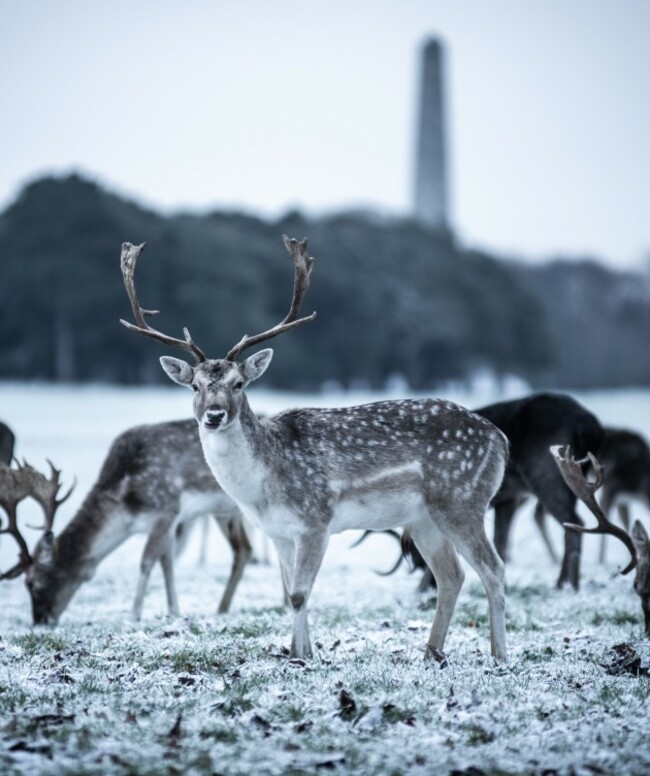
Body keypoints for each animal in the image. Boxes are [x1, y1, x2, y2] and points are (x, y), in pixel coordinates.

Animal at [0, 422, 251, 628]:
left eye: (32, 584)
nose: (39, 621)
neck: (127, 506)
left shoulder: (167, 507)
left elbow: (147, 561)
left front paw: (134, 615)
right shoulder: (171, 522)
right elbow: (167, 562)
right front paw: (174, 611)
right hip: (224, 512)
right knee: (244, 550)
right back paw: (223, 608)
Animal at [119, 238, 508, 660]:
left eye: (240, 383)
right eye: (195, 386)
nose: (214, 415)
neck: (261, 488)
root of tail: (500, 440)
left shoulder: (316, 520)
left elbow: (300, 594)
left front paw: (300, 655)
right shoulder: (277, 533)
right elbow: (290, 591)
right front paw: (301, 652)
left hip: (462, 500)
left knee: (494, 569)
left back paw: (498, 655)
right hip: (423, 518)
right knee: (452, 575)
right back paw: (431, 653)